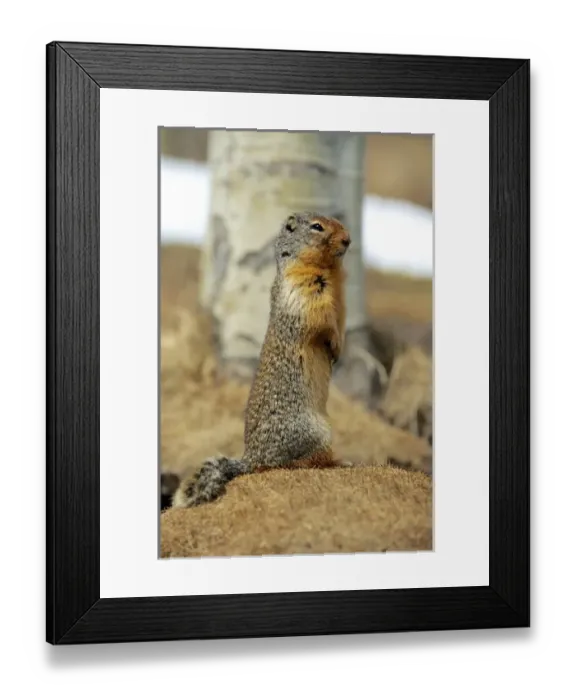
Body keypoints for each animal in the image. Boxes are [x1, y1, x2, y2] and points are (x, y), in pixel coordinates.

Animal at [170, 211, 352, 509]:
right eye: (317, 226)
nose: (348, 239)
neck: (329, 270)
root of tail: (252, 458)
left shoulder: (340, 302)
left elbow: (340, 321)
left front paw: (339, 350)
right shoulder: (304, 293)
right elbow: (321, 322)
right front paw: (335, 346)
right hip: (315, 432)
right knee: (299, 462)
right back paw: (340, 461)